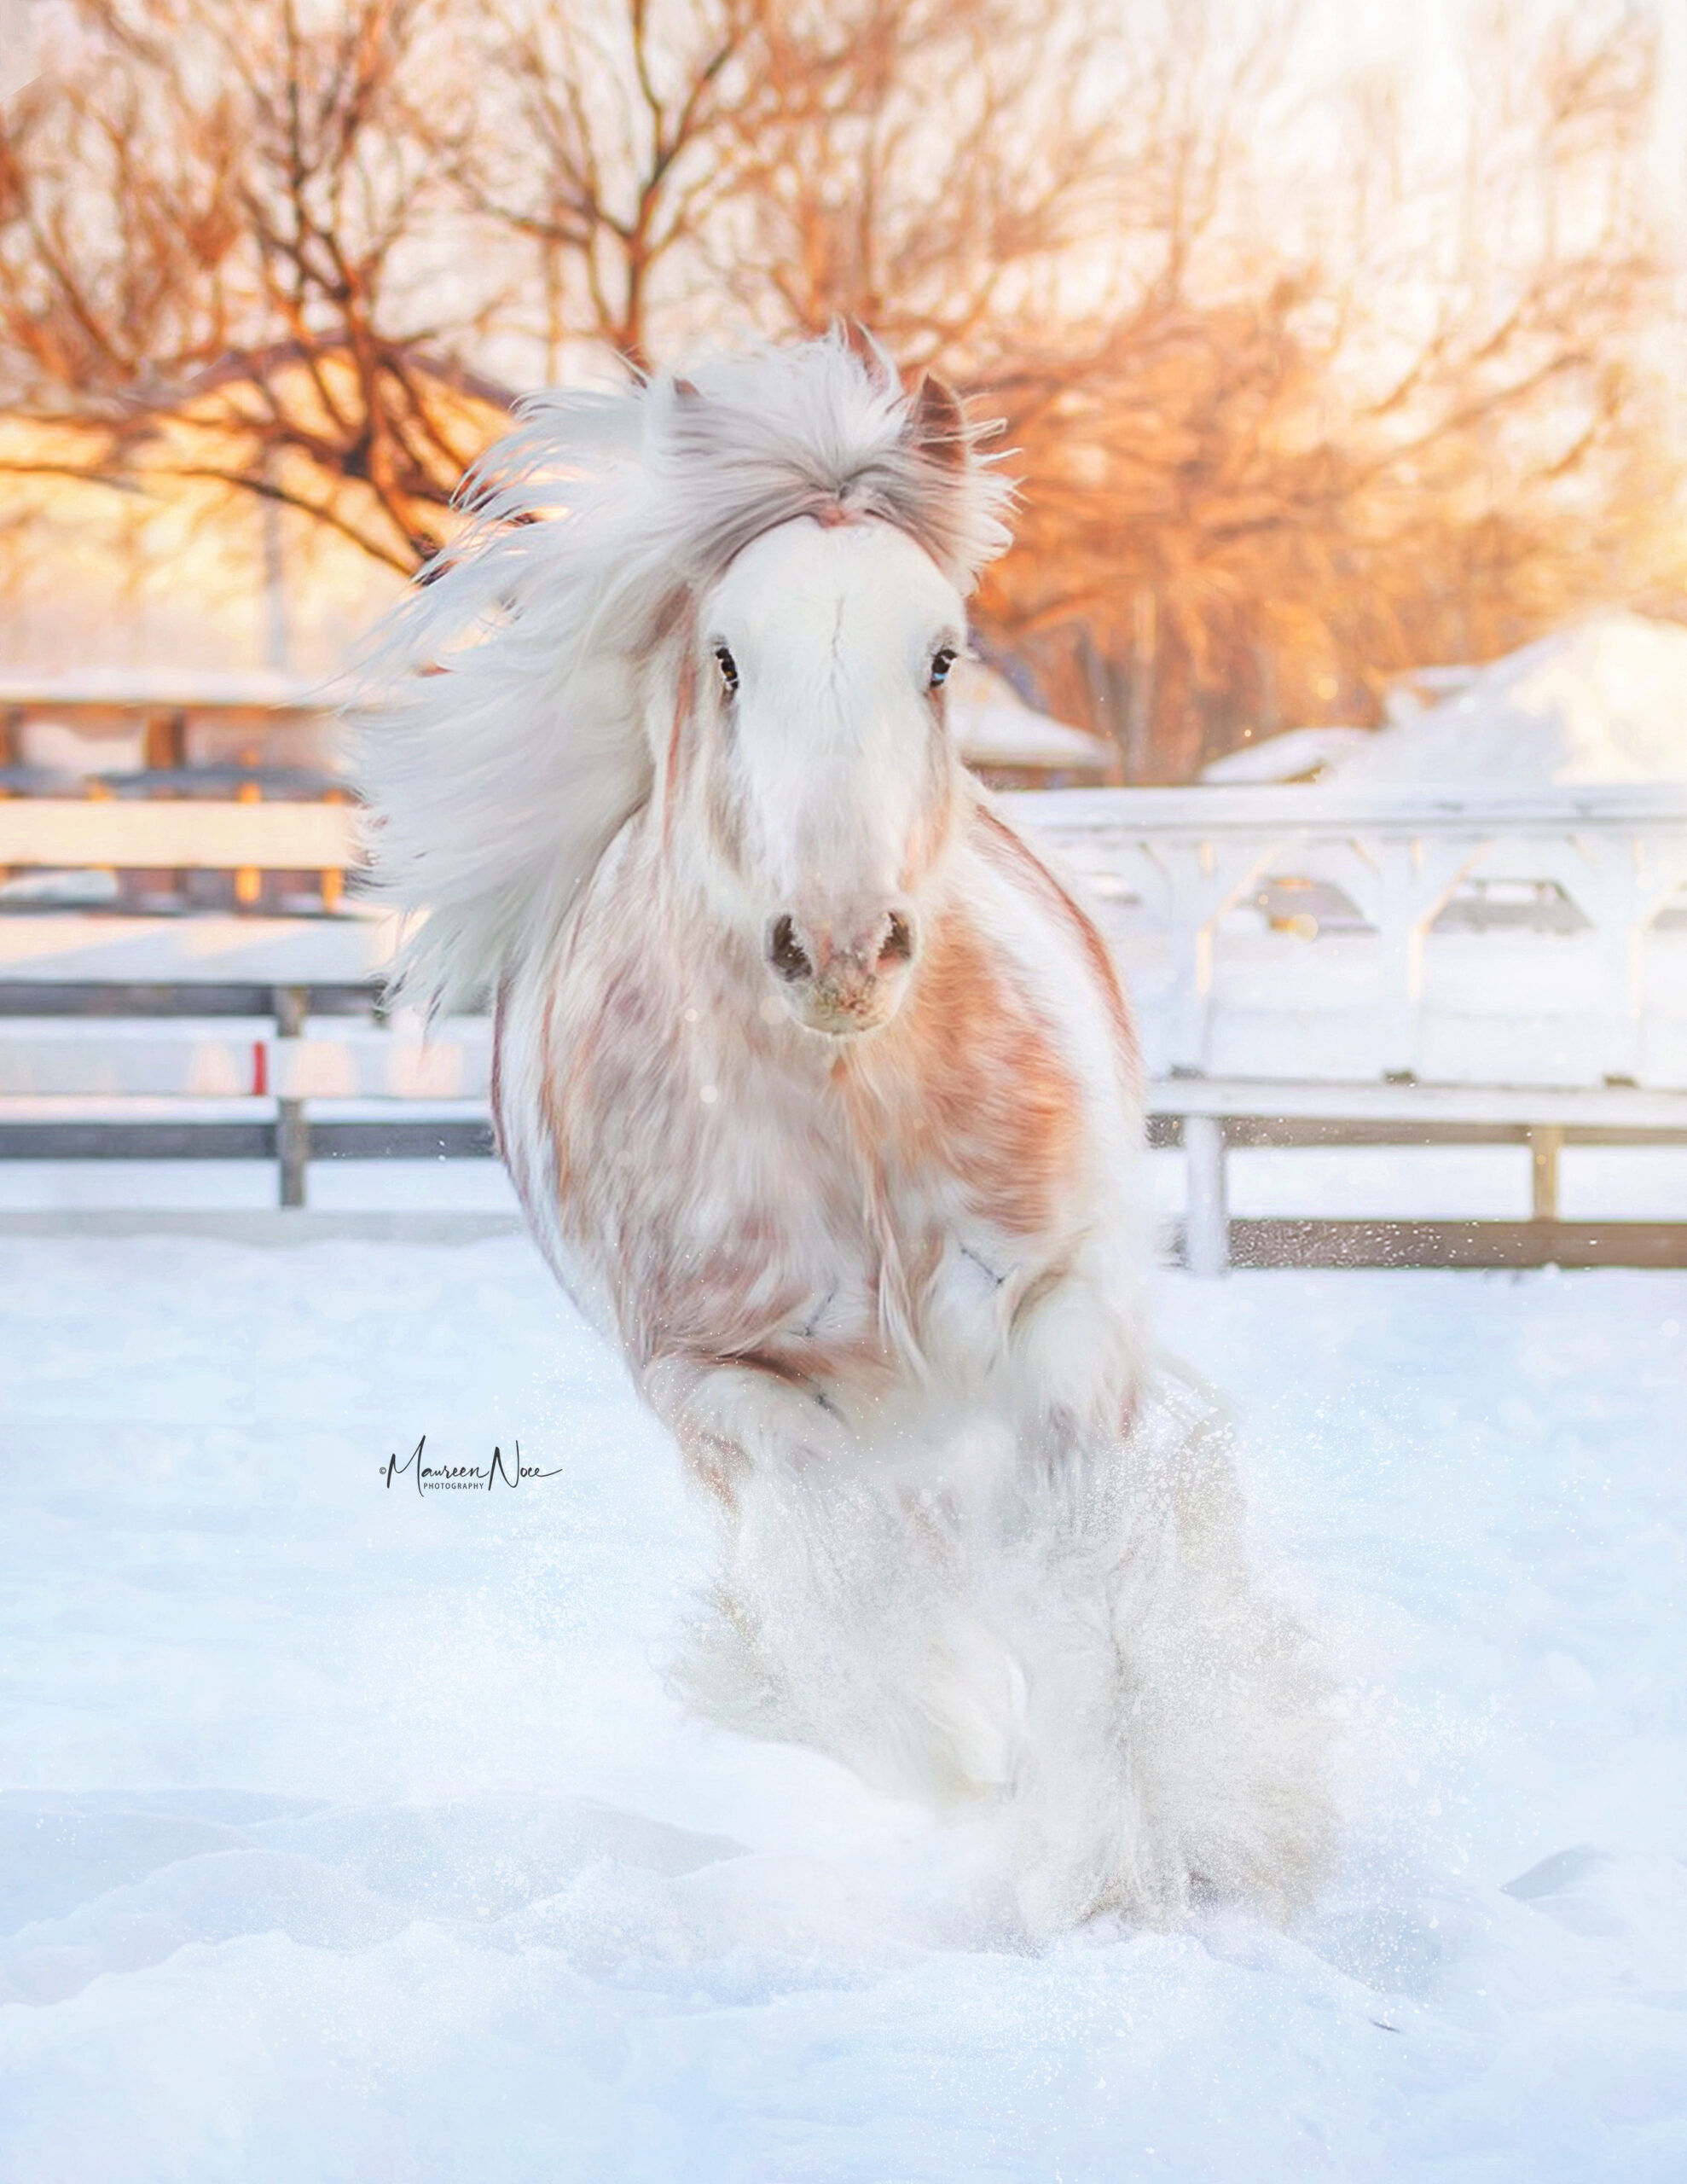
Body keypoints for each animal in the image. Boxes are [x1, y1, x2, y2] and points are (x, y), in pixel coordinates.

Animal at [355, 330, 1332, 1937]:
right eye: (725, 658)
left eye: (937, 656)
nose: (840, 948)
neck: (858, 1125)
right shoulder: (713, 1386)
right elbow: (850, 1593)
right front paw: (954, 1752)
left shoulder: (1061, 1317)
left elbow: (1085, 1596)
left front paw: (1130, 1867)